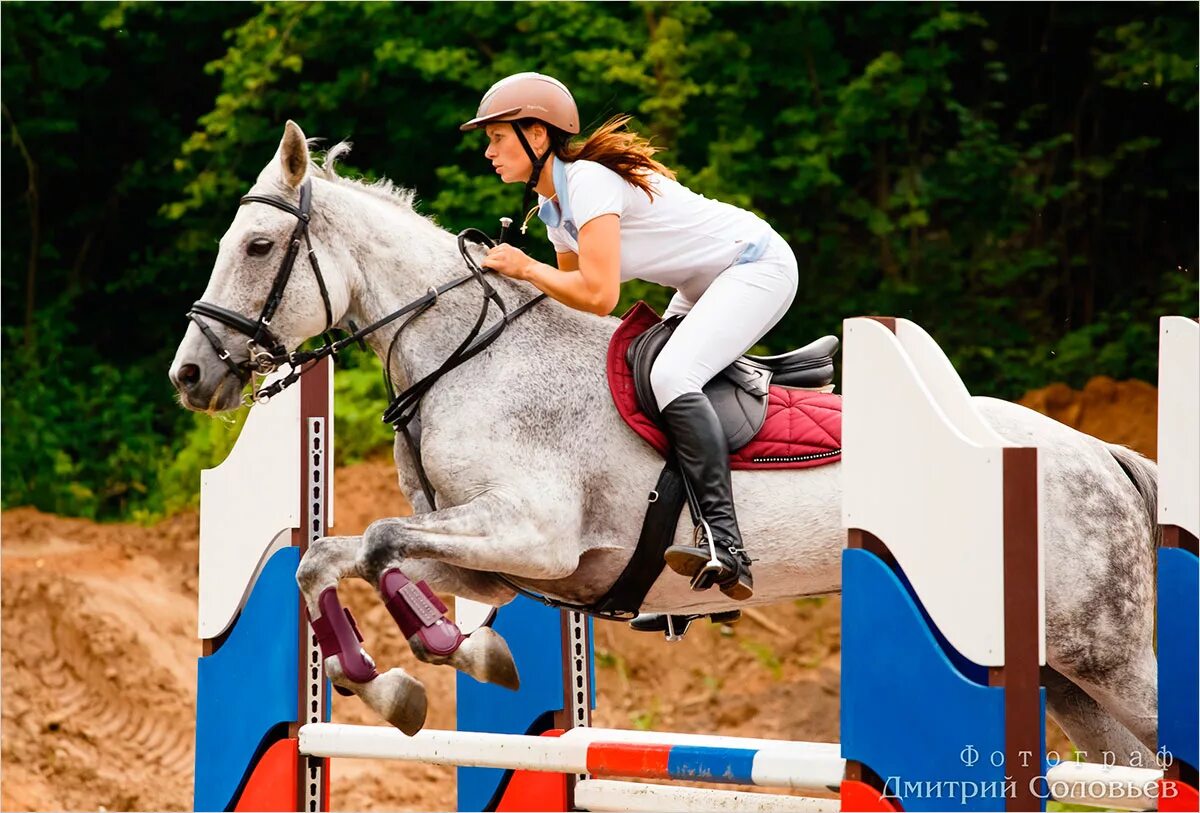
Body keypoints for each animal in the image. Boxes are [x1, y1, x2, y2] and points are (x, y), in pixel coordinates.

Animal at [171, 122, 1161, 762]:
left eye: (256, 246)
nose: (189, 375)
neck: (471, 352)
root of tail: (1096, 452)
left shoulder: (533, 531)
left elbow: (376, 543)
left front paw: (437, 660)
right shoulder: (504, 562)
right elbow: (334, 557)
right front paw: (415, 675)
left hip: (1108, 652)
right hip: (1069, 676)